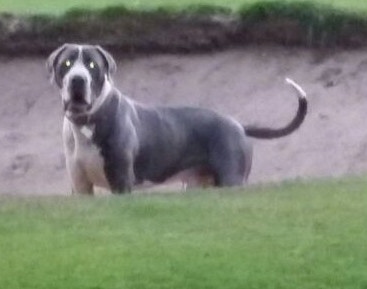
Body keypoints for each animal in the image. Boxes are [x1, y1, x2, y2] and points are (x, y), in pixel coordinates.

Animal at [47, 44, 310, 195]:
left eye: (92, 65)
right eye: (66, 63)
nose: (78, 80)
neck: (86, 122)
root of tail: (238, 125)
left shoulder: (121, 180)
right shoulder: (80, 186)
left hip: (231, 178)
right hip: (199, 183)